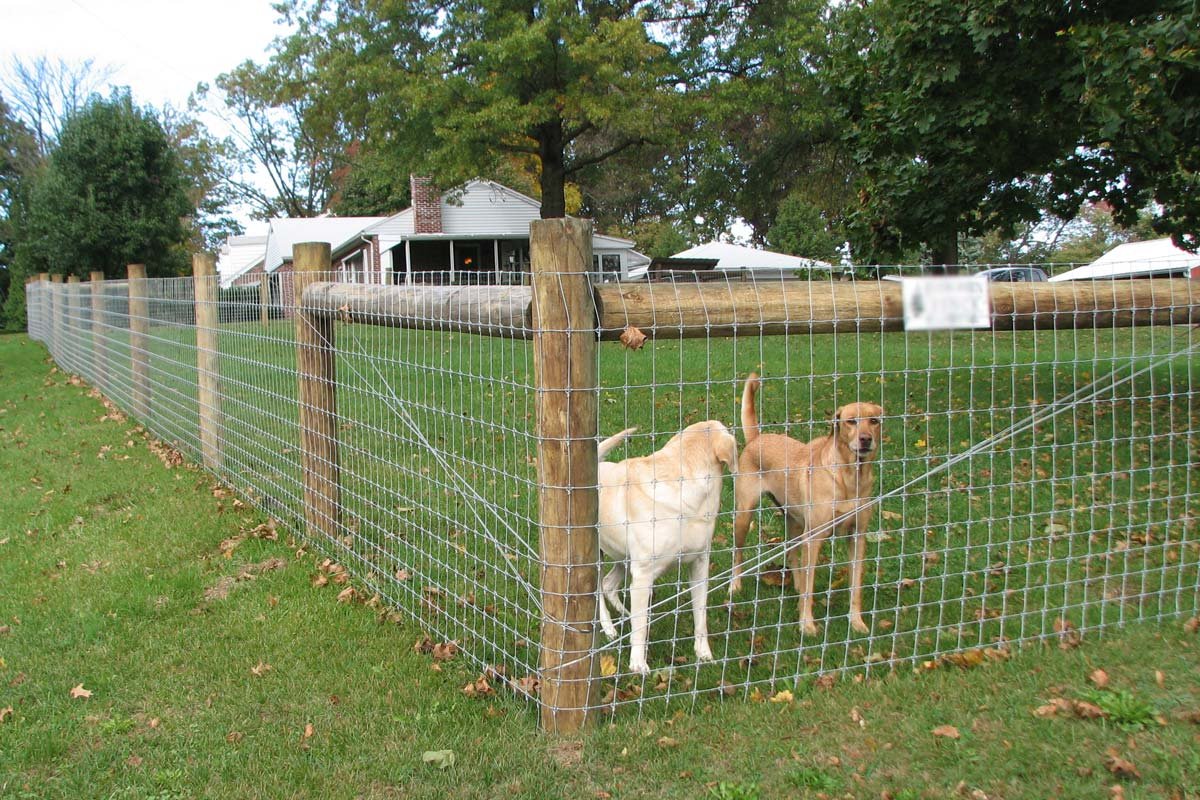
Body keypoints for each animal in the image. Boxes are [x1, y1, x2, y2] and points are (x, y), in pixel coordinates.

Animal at [595, 419, 734, 676]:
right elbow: (640, 629)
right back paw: (608, 627)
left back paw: (624, 614)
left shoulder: (700, 566)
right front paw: (637, 664)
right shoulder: (643, 576)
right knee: (599, 592)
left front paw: (704, 654)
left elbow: (701, 615)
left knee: (609, 584)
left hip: (622, 558)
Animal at [724, 376, 888, 638]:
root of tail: (757, 438)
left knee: (792, 555)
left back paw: (797, 584)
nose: (866, 439)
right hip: (744, 516)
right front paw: (807, 624)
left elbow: (855, 586)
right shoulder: (816, 538)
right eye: (851, 421)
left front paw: (856, 622)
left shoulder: (857, 536)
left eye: (874, 421)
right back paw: (735, 585)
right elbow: (810, 589)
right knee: (738, 554)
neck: (849, 477)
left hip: (794, 521)